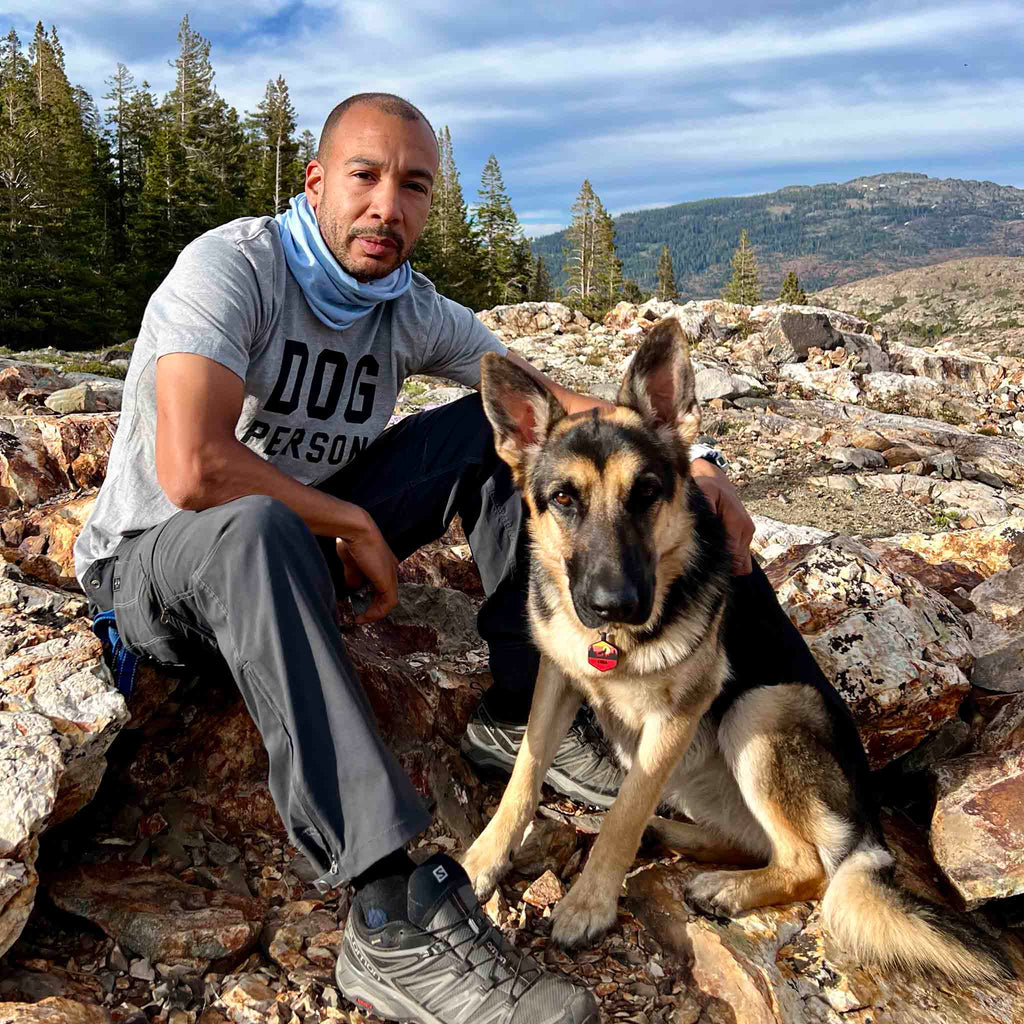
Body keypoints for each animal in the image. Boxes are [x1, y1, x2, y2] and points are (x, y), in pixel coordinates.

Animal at [464, 317, 1015, 983]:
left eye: (646, 492)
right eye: (564, 499)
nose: (613, 604)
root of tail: (870, 831)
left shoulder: (676, 716)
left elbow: (624, 816)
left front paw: (589, 903)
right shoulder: (557, 681)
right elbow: (523, 778)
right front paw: (481, 861)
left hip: (761, 709)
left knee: (809, 866)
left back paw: (725, 886)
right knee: (751, 841)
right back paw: (677, 841)